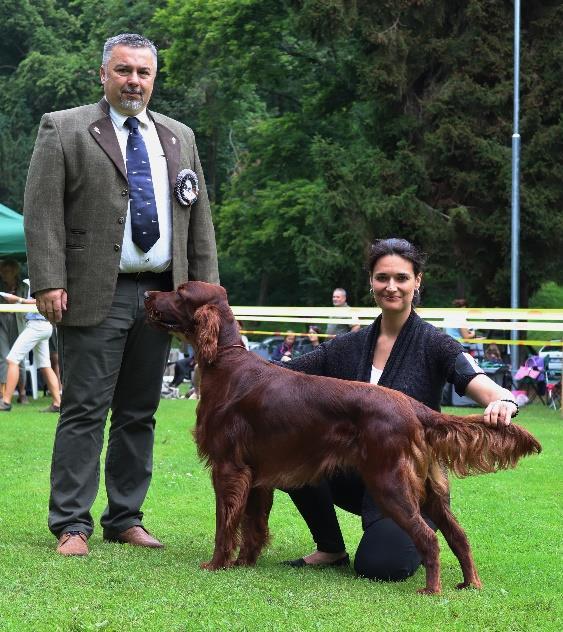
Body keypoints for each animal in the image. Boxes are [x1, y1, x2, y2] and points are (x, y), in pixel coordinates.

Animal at [145, 282, 540, 592]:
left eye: (180, 292)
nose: (148, 293)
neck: (226, 364)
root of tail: (414, 408)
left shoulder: (228, 467)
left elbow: (225, 524)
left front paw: (216, 564)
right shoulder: (256, 475)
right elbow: (252, 526)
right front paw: (244, 563)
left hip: (389, 483)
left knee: (428, 538)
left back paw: (431, 590)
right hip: (429, 490)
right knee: (458, 535)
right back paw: (469, 584)